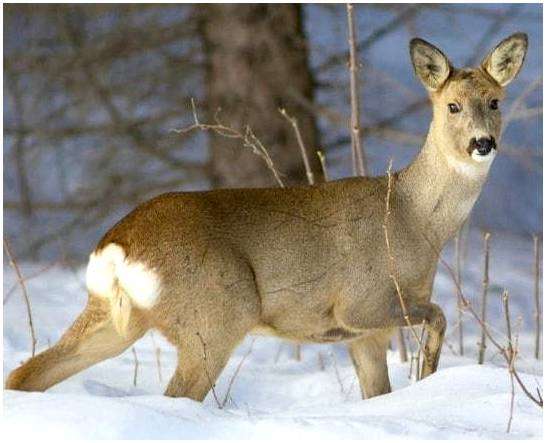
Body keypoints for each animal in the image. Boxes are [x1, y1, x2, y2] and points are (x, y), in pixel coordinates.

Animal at [7, 33, 528, 400]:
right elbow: (438, 316)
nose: (483, 143)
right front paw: (428, 375)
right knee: (177, 393)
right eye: (452, 105)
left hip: (115, 317)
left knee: (27, 372)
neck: (412, 218)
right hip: (216, 315)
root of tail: (118, 245)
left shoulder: (364, 335)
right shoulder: (360, 302)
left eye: (495, 101)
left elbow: (377, 392)